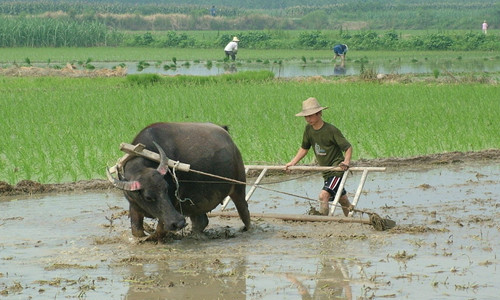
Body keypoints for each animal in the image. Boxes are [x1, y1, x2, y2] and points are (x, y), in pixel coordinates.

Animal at [108, 122, 252, 239]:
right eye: (148, 197)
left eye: (166, 189)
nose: (179, 222)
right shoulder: (134, 205)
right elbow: (136, 231)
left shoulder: (172, 203)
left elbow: (159, 231)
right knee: (201, 221)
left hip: (239, 187)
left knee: (244, 211)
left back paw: (247, 229)